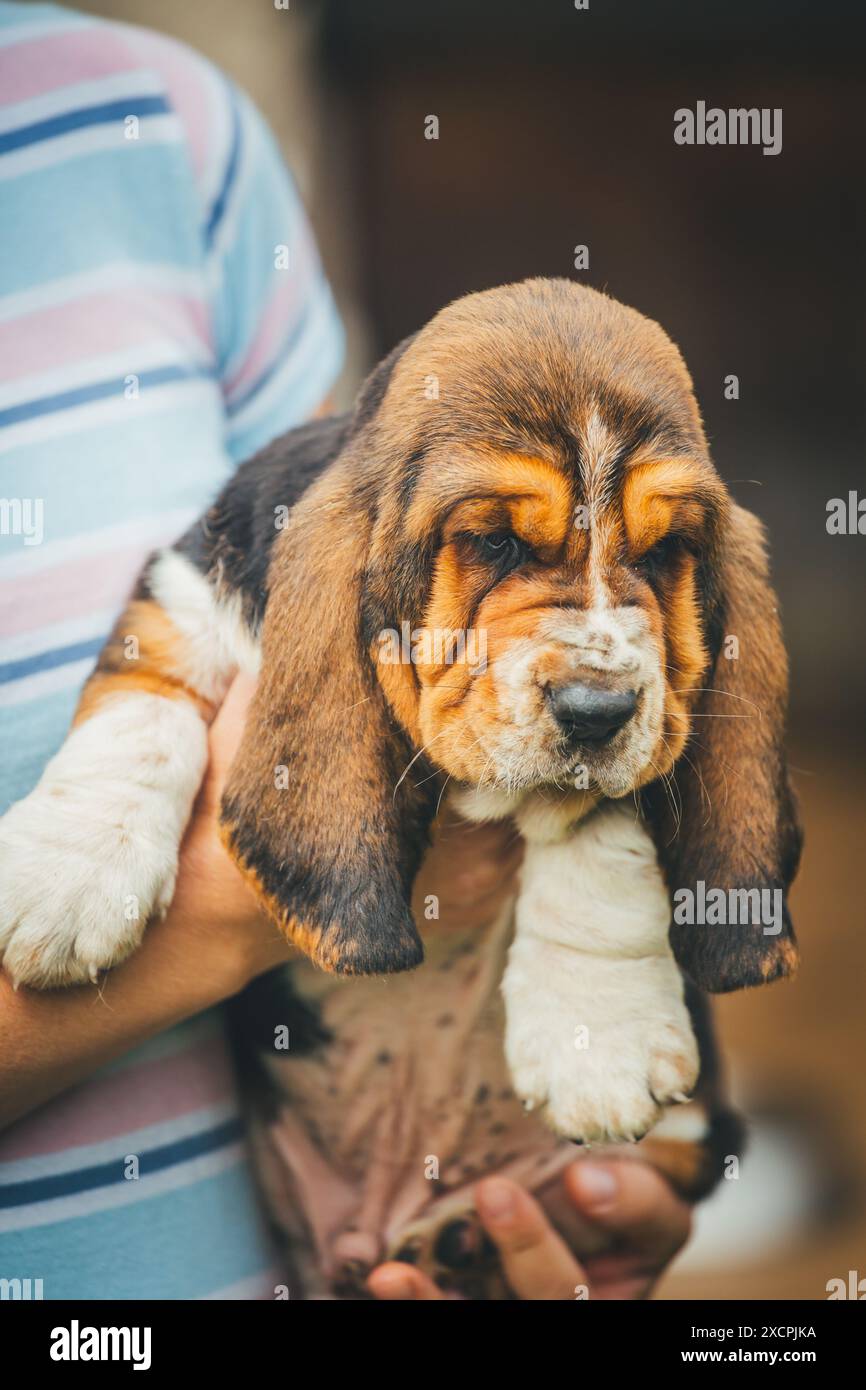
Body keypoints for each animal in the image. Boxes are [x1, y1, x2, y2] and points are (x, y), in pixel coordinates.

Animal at [0, 276, 800, 1295]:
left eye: (665, 555)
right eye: (493, 542)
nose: (596, 710)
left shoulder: (652, 716)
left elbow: (596, 819)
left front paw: (598, 1035)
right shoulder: (185, 588)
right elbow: (146, 694)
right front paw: (68, 879)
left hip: (691, 1139)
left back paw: (459, 1244)